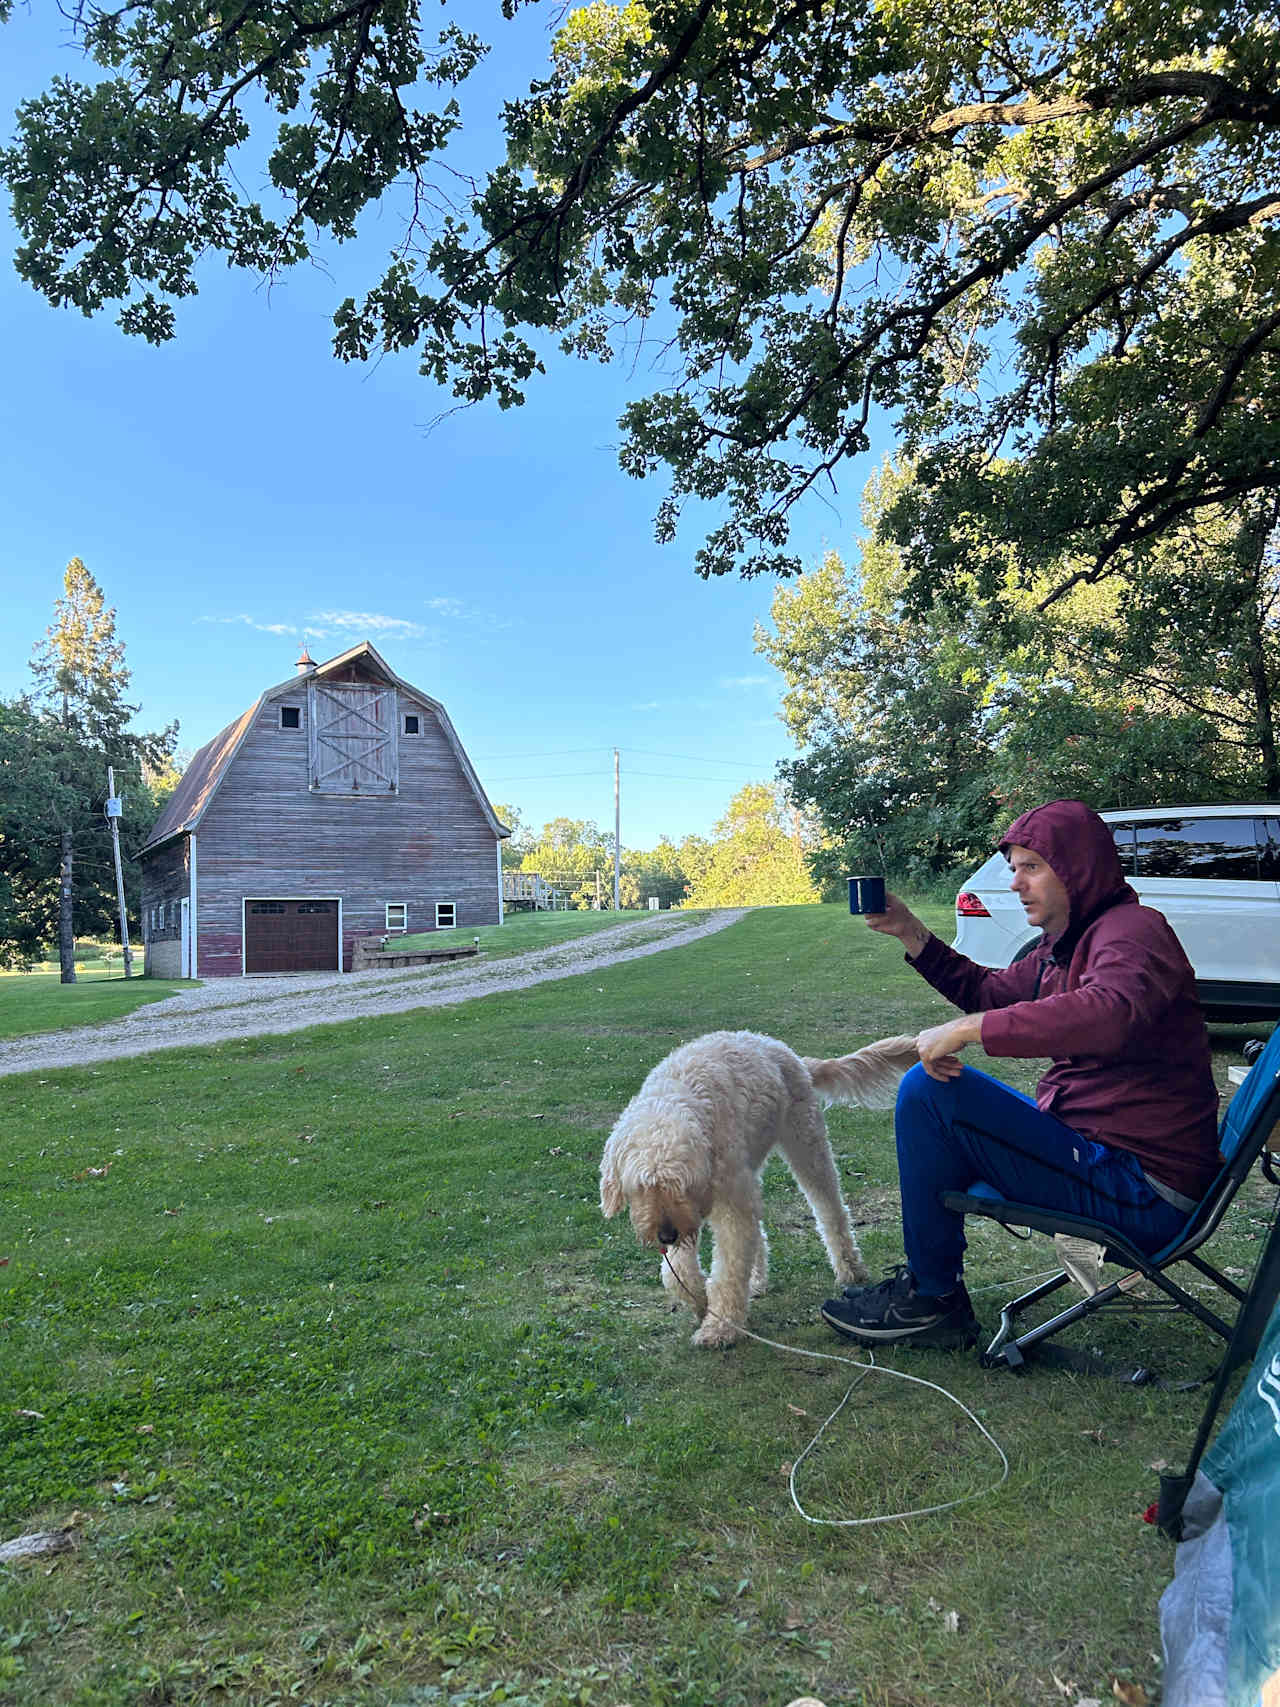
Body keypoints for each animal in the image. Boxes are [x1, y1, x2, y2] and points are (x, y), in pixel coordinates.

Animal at [600, 1024, 921, 1345]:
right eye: (642, 1187)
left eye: (683, 1186)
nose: (665, 1235)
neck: (680, 1094)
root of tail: (791, 1055)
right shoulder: (695, 1214)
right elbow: (676, 1273)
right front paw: (701, 1300)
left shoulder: (724, 1207)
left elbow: (728, 1271)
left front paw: (720, 1326)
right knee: (760, 1230)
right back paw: (756, 1279)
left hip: (807, 1147)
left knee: (831, 1211)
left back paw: (849, 1267)